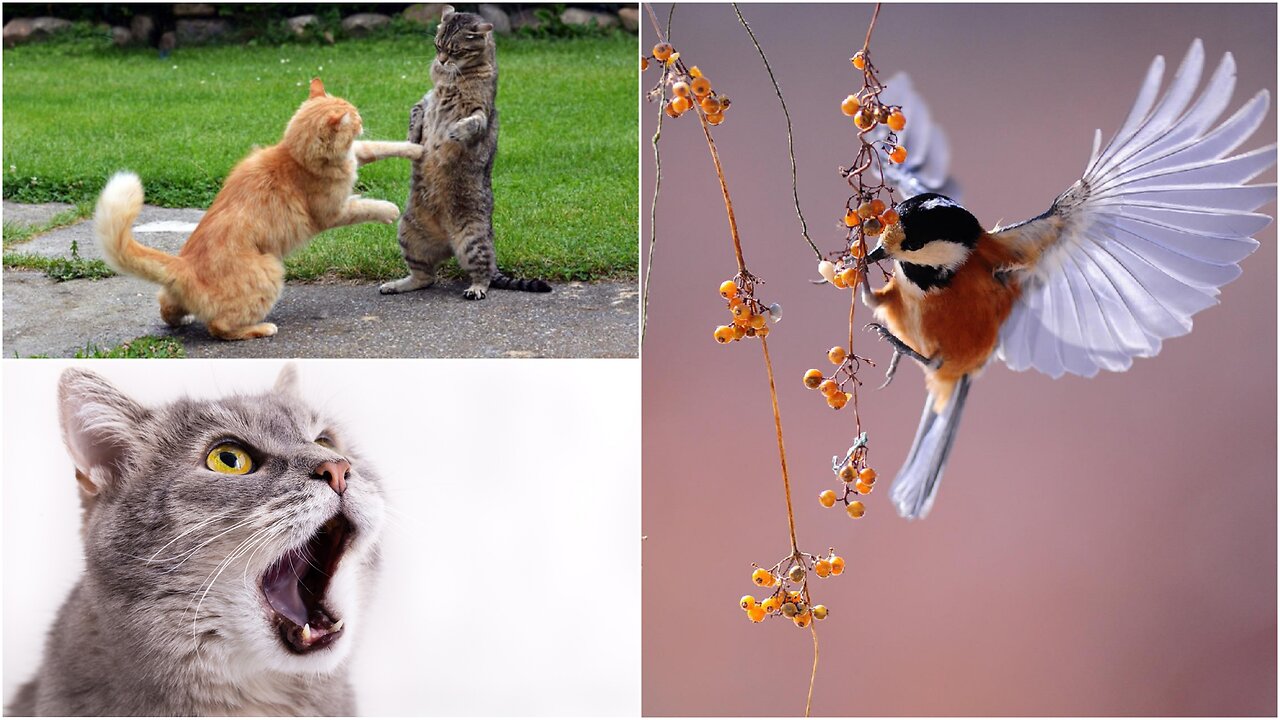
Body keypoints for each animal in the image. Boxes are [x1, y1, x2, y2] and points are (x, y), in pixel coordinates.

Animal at [97, 78, 424, 338]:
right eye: (354, 116)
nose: (361, 119)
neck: (293, 156)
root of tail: (183, 265)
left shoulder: (358, 153)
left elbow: (382, 146)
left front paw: (417, 149)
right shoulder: (333, 213)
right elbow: (366, 206)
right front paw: (389, 209)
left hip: (175, 297)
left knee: (166, 307)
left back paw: (181, 320)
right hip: (271, 271)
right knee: (219, 328)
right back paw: (262, 328)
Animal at [378, 4, 550, 297]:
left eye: (455, 51)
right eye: (437, 46)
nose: (441, 61)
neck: (453, 78)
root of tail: (447, 241)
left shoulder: (482, 110)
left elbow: (473, 122)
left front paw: (456, 131)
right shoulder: (426, 99)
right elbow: (414, 114)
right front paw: (412, 140)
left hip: (471, 240)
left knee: (483, 271)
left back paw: (477, 288)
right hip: (409, 235)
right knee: (425, 277)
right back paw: (399, 284)